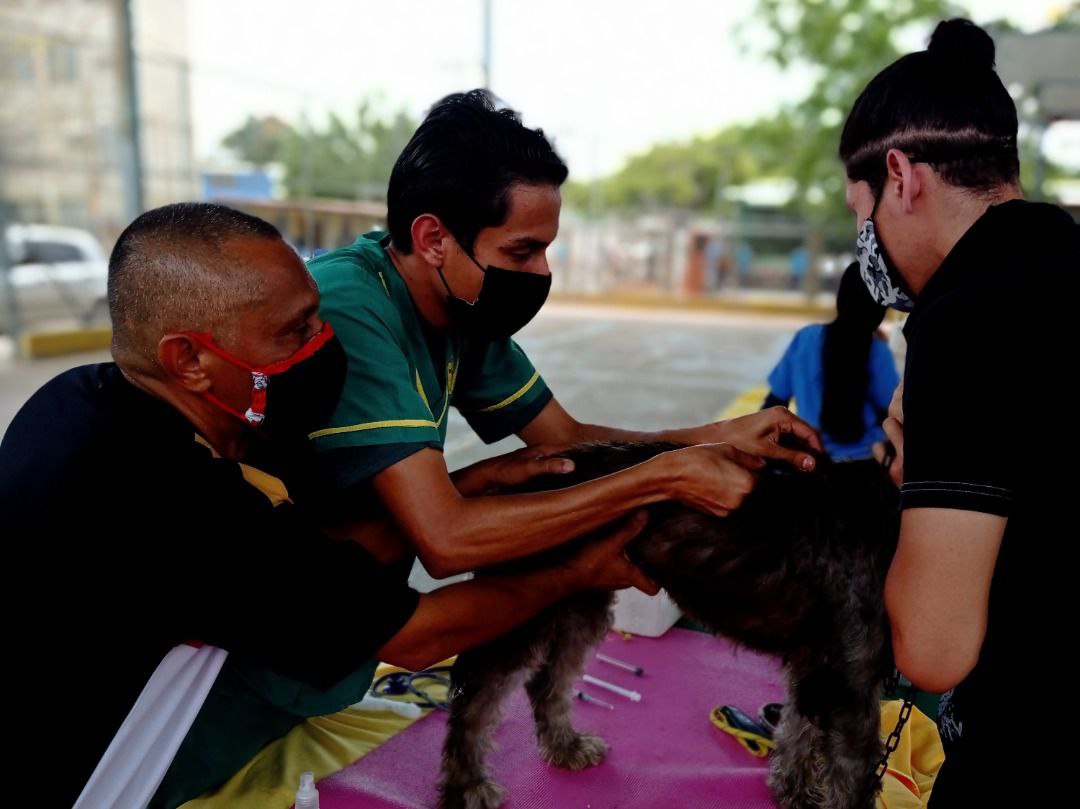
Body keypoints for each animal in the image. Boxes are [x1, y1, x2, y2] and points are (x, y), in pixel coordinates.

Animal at [438, 442, 902, 807]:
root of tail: (514, 488)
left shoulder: (815, 667)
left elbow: (795, 730)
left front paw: (792, 792)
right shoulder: (851, 687)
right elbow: (854, 777)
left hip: (579, 600)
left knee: (548, 681)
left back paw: (565, 747)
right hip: (519, 611)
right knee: (474, 700)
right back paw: (467, 787)